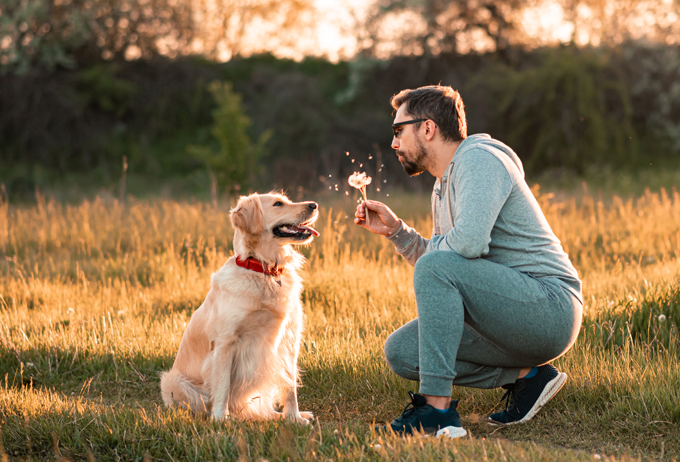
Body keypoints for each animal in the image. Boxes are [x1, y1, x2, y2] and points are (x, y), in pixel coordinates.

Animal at [159, 191, 318, 422]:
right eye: (278, 204)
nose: (314, 205)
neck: (265, 272)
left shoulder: (289, 338)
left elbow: (290, 387)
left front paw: (294, 419)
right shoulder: (226, 342)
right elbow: (222, 385)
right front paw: (220, 419)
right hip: (172, 380)